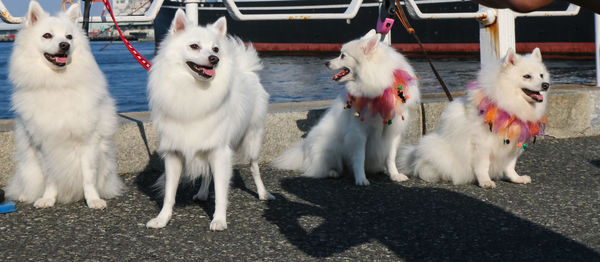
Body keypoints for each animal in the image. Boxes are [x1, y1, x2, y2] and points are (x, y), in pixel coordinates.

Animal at [4, 1, 124, 208]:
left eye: (69, 37)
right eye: (47, 35)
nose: (65, 45)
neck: (57, 83)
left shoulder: (88, 141)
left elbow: (88, 177)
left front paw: (93, 200)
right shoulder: (43, 145)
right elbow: (51, 176)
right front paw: (48, 198)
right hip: (28, 167)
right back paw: (24, 195)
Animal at [148, 10, 274, 231]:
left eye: (215, 48)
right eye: (194, 46)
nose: (214, 58)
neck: (192, 89)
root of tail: (247, 70)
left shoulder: (220, 151)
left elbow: (221, 192)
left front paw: (219, 220)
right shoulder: (175, 153)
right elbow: (170, 193)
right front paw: (162, 219)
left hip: (252, 140)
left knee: (254, 168)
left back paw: (263, 193)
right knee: (207, 173)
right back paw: (202, 193)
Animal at [274, 30, 420, 185]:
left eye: (342, 56)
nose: (326, 62)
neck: (378, 87)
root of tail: (304, 152)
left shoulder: (393, 132)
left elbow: (391, 157)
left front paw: (394, 175)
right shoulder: (358, 133)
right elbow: (359, 158)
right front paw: (361, 179)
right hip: (329, 146)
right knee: (319, 168)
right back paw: (332, 172)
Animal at [404, 48, 548, 188]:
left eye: (541, 75)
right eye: (527, 76)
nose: (546, 84)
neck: (507, 104)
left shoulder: (512, 143)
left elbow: (510, 165)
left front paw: (516, 178)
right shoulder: (482, 145)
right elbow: (483, 167)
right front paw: (485, 181)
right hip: (434, 148)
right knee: (426, 169)